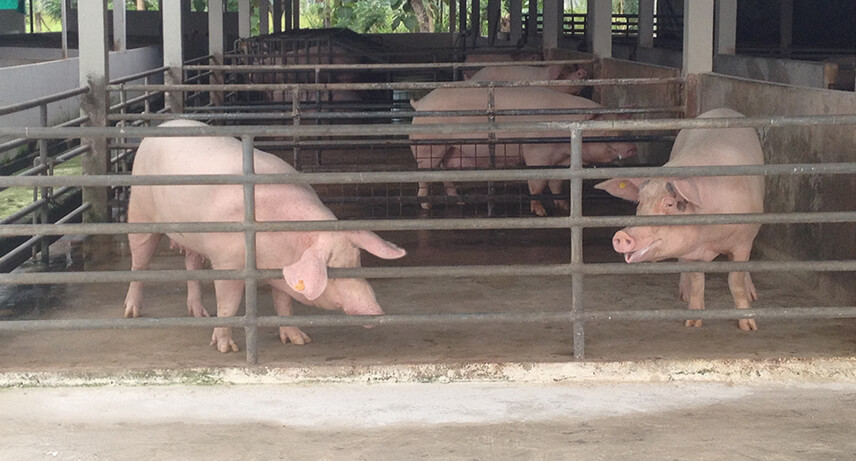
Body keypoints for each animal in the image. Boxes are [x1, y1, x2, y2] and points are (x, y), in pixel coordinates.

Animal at [121, 119, 412, 352]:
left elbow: (284, 302)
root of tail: (162, 126)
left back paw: (199, 314)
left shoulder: (279, 270)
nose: (376, 311)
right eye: (334, 270)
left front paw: (299, 340)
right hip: (139, 211)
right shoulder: (228, 261)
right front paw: (226, 348)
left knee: (191, 262)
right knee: (139, 264)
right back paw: (131, 313)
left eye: (357, 262)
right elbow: (229, 303)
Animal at [592, 108, 764, 330]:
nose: (621, 235)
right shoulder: (692, 253)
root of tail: (722, 110)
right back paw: (684, 295)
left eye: (669, 204)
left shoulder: (743, 241)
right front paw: (692, 323)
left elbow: (735, 280)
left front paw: (749, 327)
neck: (708, 239)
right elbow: (697, 282)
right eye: (640, 201)